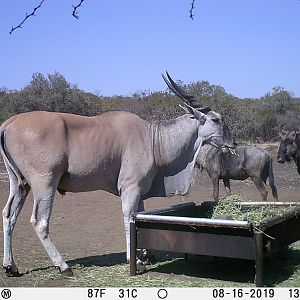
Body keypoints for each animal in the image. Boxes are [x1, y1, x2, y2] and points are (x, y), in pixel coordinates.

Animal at [0, 72, 230, 276]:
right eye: (216, 120)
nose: (232, 143)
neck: (152, 138)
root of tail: (8, 124)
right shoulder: (130, 187)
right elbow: (129, 217)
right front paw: (135, 260)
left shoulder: (138, 190)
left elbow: (140, 215)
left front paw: (146, 253)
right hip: (45, 183)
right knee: (40, 221)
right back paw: (63, 266)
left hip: (19, 183)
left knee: (9, 215)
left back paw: (11, 266)